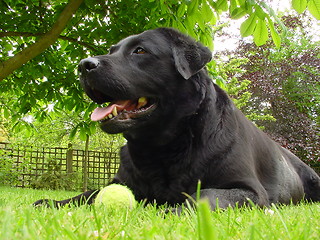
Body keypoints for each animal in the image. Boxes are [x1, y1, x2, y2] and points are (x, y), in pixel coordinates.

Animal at [33, 27, 318, 209]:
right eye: (112, 50)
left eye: (140, 51)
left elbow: (203, 196)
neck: (162, 146)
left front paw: (174, 210)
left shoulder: (248, 190)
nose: (84, 65)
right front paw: (54, 202)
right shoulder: (121, 181)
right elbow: (87, 194)